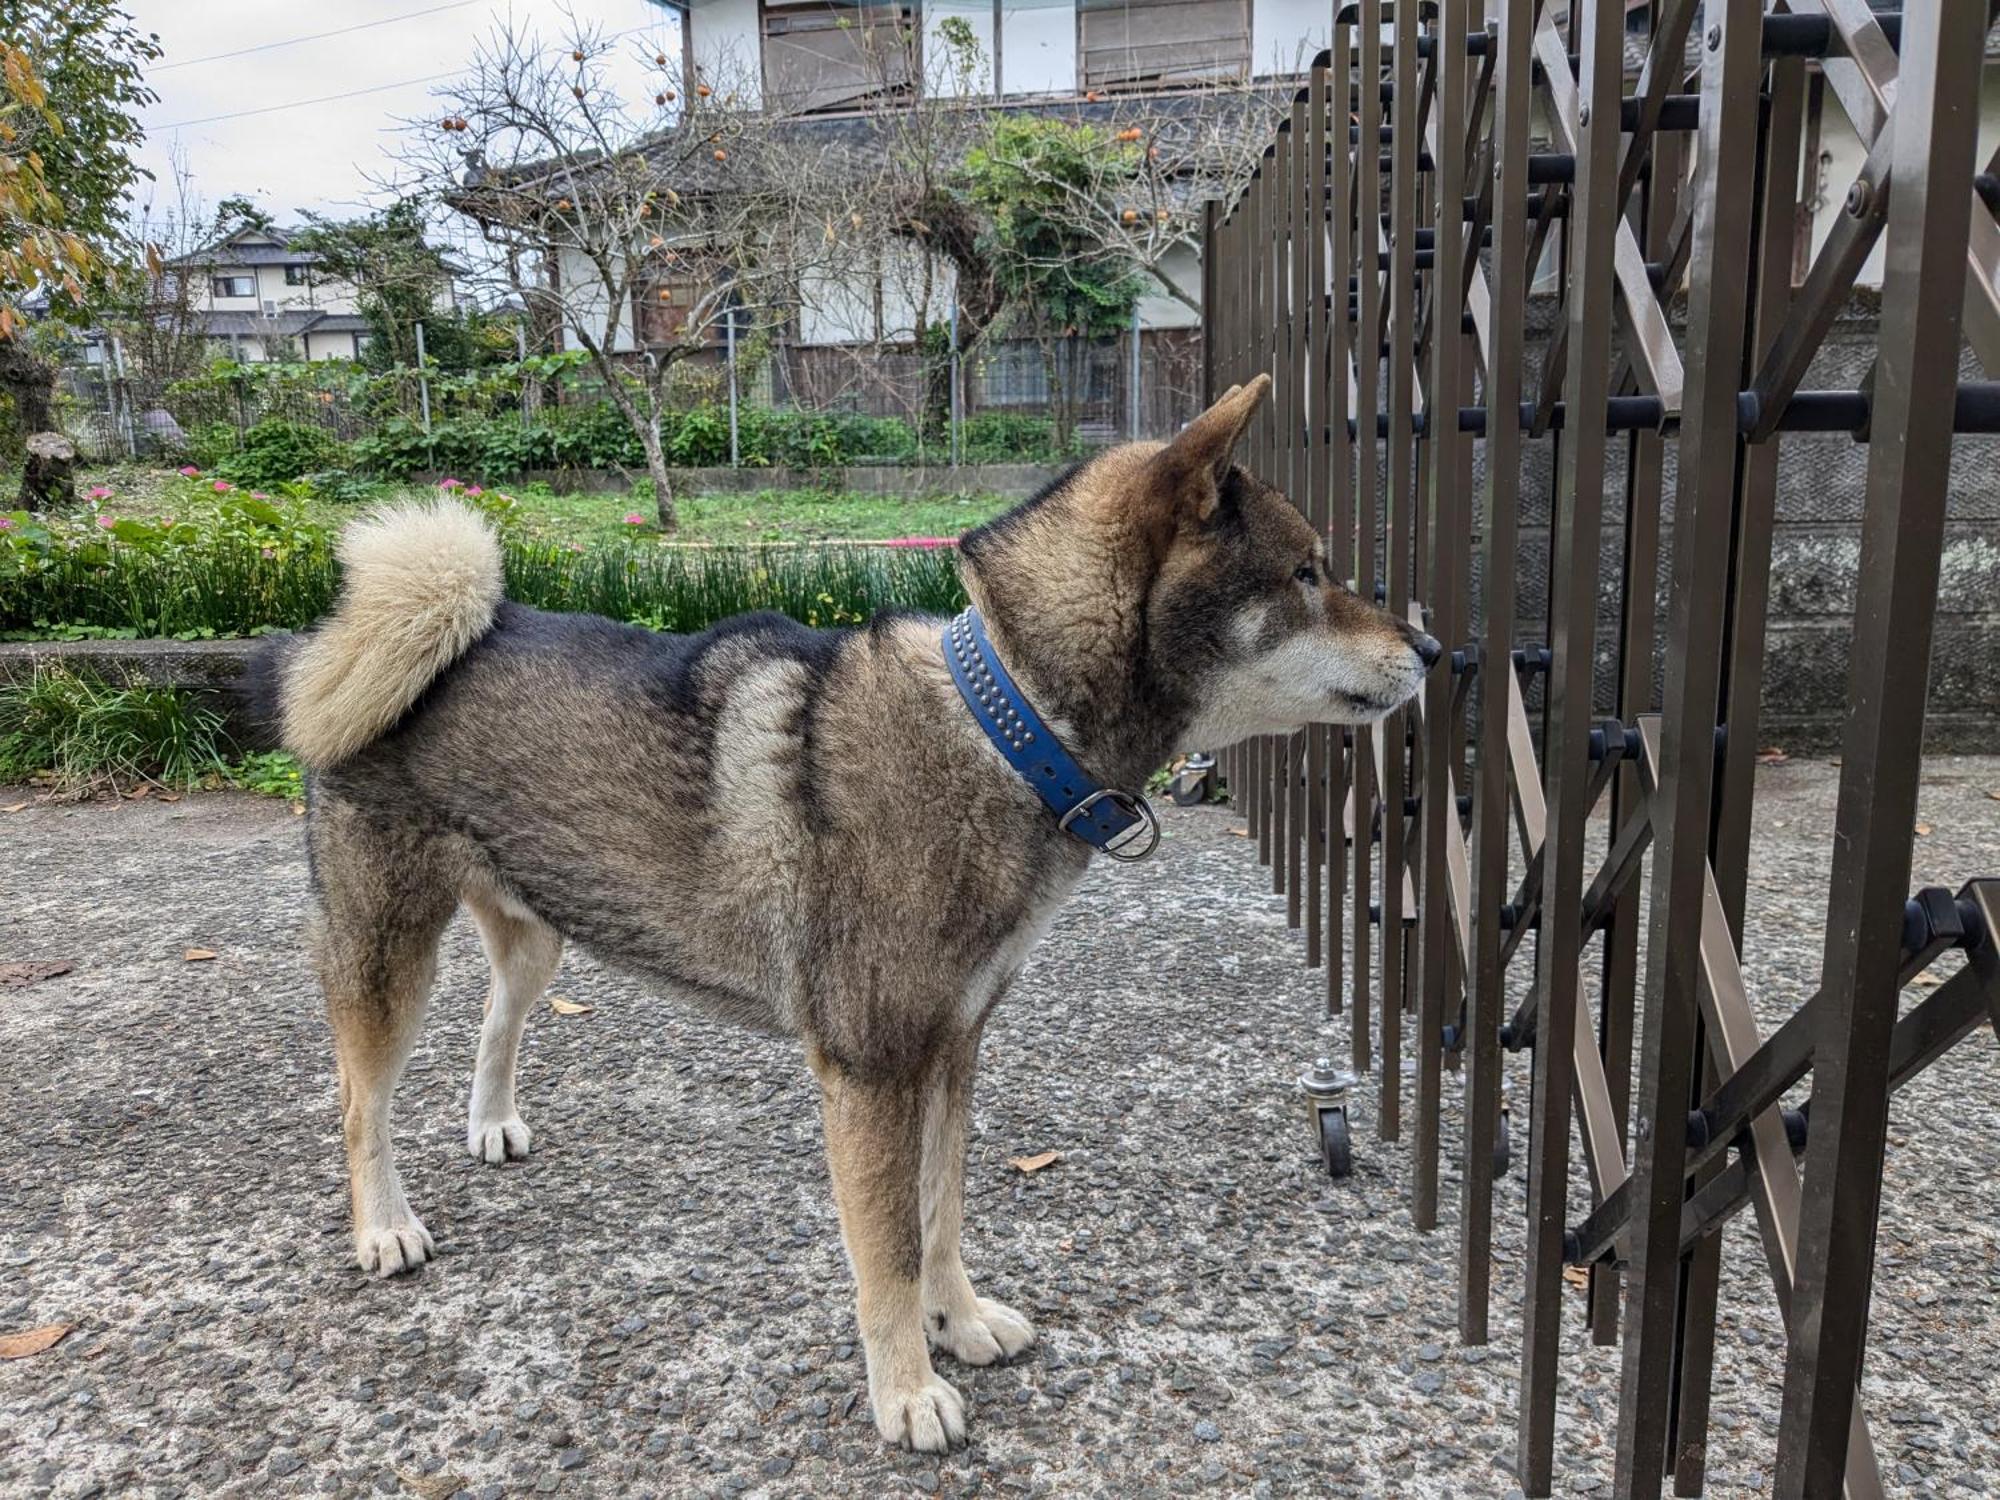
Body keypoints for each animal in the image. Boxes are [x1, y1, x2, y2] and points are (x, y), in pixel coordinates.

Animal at [250, 376, 1440, 1456]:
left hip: (539, 927)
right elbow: (890, 1250)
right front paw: (906, 1390)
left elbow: (942, 1216)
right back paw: (384, 1227)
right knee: (358, 1103)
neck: (1008, 726)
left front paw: (958, 1323)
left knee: (498, 1017)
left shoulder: (952, 1047)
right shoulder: (872, 1068)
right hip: (386, 949)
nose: (1436, 651)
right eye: (1306, 573)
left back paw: (491, 1120)